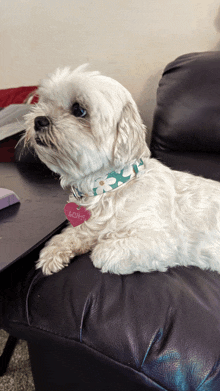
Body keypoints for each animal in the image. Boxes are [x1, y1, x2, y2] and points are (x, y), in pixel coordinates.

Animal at [24, 65, 220, 276]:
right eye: (44, 102)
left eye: (79, 110)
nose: (39, 120)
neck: (108, 187)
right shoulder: (88, 225)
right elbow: (72, 234)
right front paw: (54, 251)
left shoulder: (160, 242)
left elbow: (102, 251)